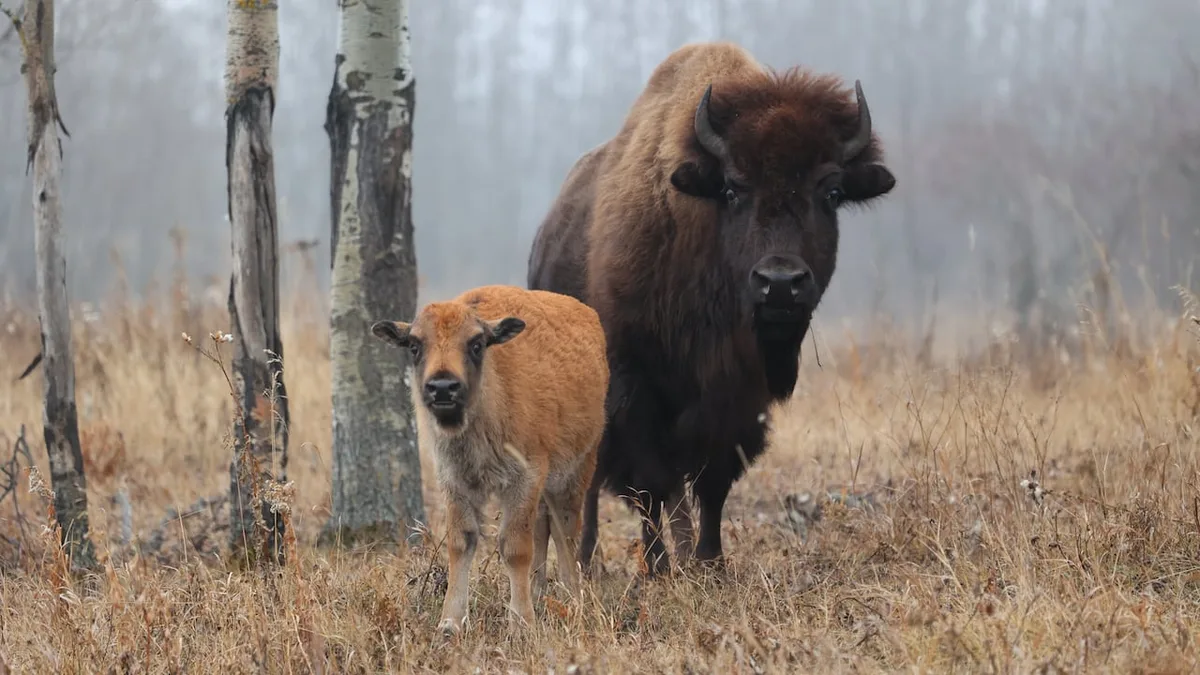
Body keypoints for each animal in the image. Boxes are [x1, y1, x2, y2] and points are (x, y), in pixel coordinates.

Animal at [527, 41, 896, 576]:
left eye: (830, 192)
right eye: (732, 188)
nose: (780, 283)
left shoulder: (738, 399)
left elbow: (711, 483)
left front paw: (710, 562)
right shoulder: (633, 387)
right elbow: (647, 484)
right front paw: (658, 567)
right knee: (593, 484)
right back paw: (586, 560)